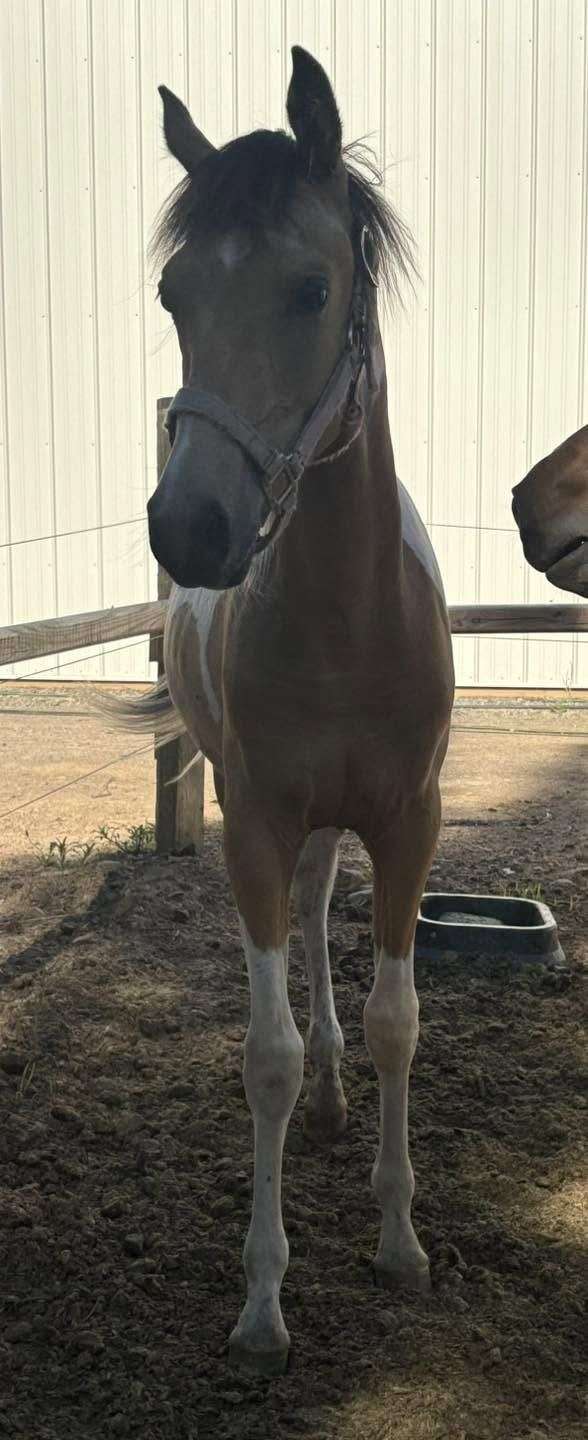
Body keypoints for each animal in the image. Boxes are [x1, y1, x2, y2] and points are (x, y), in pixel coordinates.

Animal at [121, 47, 454, 1374]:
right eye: (173, 293)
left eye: (312, 289)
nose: (189, 530)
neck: (348, 618)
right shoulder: (255, 821)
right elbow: (264, 1050)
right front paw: (263, 1300)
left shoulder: (410, 821)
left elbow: (398, 1015)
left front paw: (402, 1240)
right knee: (298, 937)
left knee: (322, 923)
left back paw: (339, 1097)